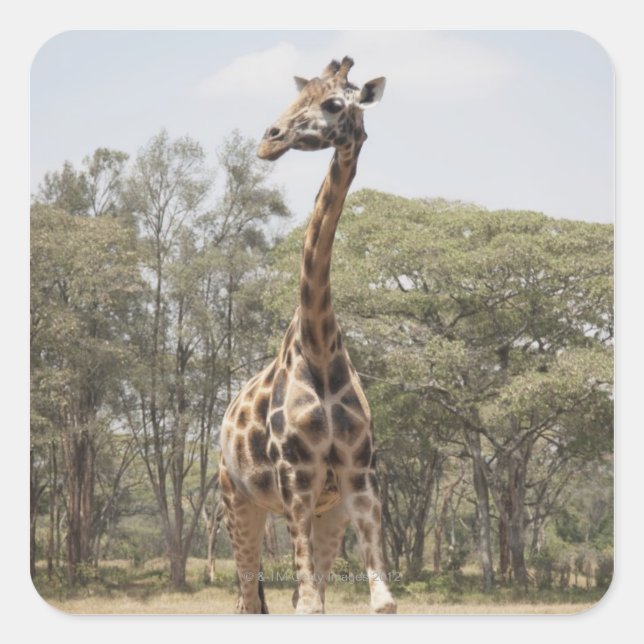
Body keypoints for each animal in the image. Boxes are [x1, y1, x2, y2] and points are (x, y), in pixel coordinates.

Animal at [218, 56, 396, 615]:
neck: (318, 347)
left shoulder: (359, 480)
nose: (269, 140)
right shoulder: (295, 480)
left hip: (327, 514)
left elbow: (379, 601)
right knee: (247, 600)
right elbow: (309, 604)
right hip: (238, 501)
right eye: (298, 97)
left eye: (335, 104)